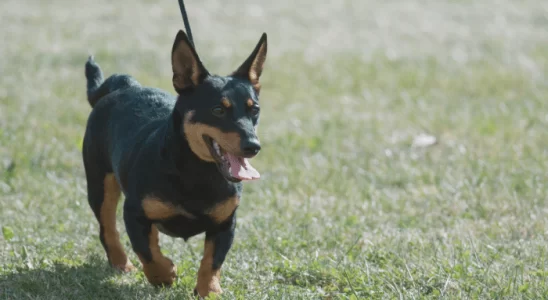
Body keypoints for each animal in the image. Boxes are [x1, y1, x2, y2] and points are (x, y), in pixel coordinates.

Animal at [81, 29, 268, 296]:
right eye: (218, 110)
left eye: (254, 110)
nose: (253, 146)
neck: (197, 172)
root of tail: (124, 84)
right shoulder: (134, 213)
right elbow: (147, 253)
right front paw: (165, 274)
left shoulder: (226, 223)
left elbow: (212, 260)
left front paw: (208, 291)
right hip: (100, 185)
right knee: (108, 228)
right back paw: (122, 264)